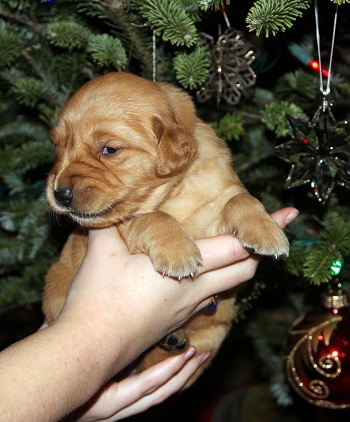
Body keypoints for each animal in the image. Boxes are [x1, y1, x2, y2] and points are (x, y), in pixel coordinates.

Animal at [44, 73, 290, 386]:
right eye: (58, 146)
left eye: (109, 149)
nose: (59, 193)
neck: (174, 193)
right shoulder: (125, 221)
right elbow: (150, 217)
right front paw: (178, 252)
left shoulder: (214, 206)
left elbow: (239, 198)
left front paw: (267, 232)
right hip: (55, 289)